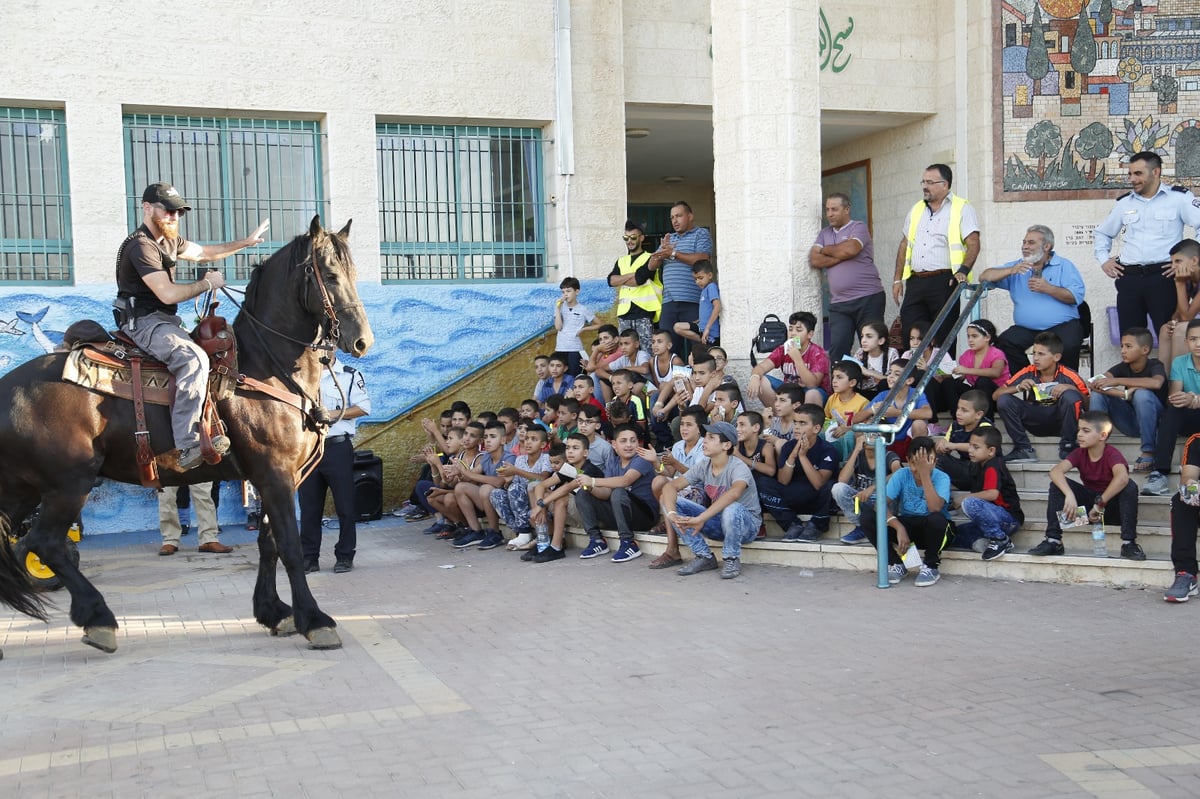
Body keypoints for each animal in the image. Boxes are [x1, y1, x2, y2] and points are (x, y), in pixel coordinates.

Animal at [0, 213, 372, 652]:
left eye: (354, 273)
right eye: (329, 274)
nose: (362, 341)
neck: (265, 365)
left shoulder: (279, 478)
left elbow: (268, 544)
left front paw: (273, 611)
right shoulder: (275, 474)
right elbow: (291, 548)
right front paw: (313, 620)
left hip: (23, 490)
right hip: (67, 485)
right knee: (45, 544)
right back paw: (98, 617)